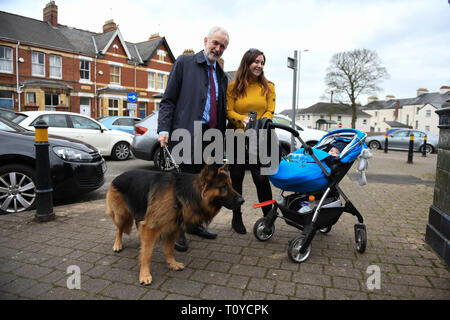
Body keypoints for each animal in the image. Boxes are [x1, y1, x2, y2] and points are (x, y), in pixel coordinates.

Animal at [106, 165, 244, 284]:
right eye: (223, 186)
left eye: (231, 185)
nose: (242, 200)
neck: (179, 194)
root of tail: (118, 177)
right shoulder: (151, 227)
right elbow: (147, 254)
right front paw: (145, 274)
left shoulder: (172, 227)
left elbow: (169, 249)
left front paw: (172, 263)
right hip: (122, 215)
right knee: (119, 229)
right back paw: (117, 244)